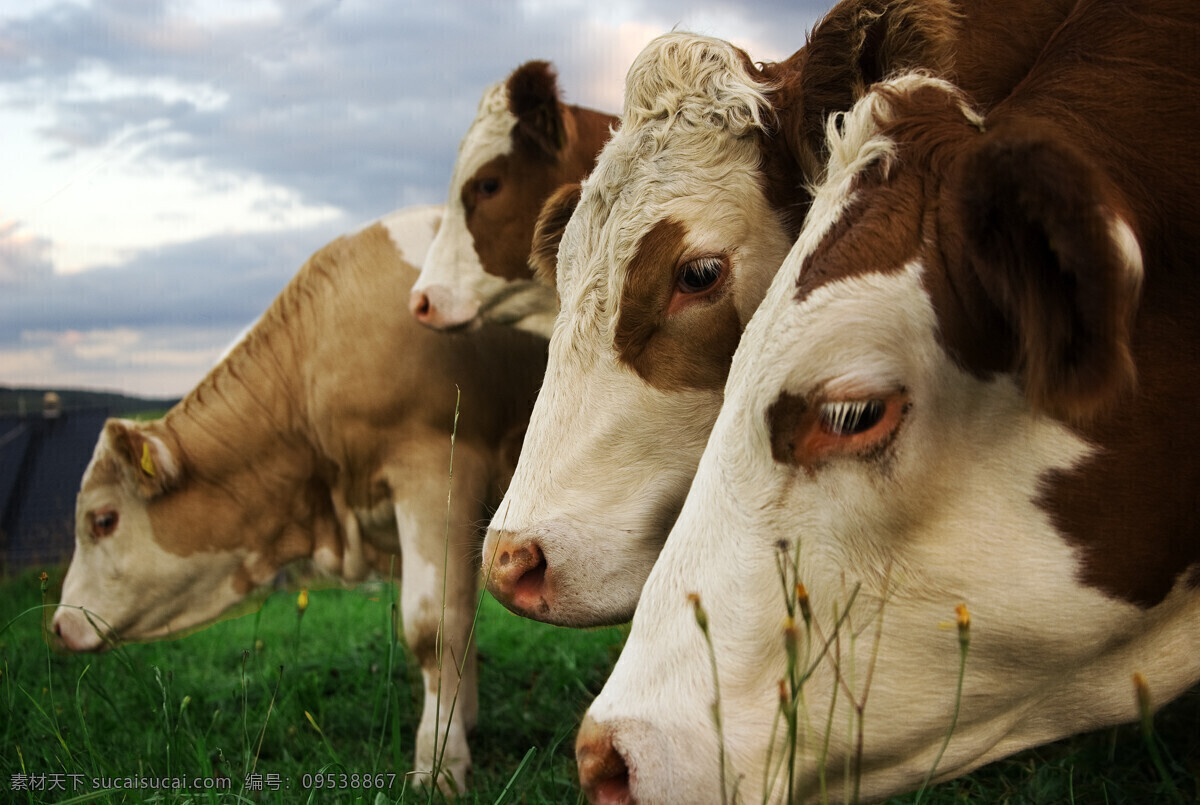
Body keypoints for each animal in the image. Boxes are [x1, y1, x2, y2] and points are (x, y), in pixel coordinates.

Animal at [50, 206, 549, 791]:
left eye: (103, 520)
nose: (58, 626)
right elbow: (459, 619)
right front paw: (459, 722)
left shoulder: (434, 474)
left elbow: (432, 625)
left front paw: (440, 761)